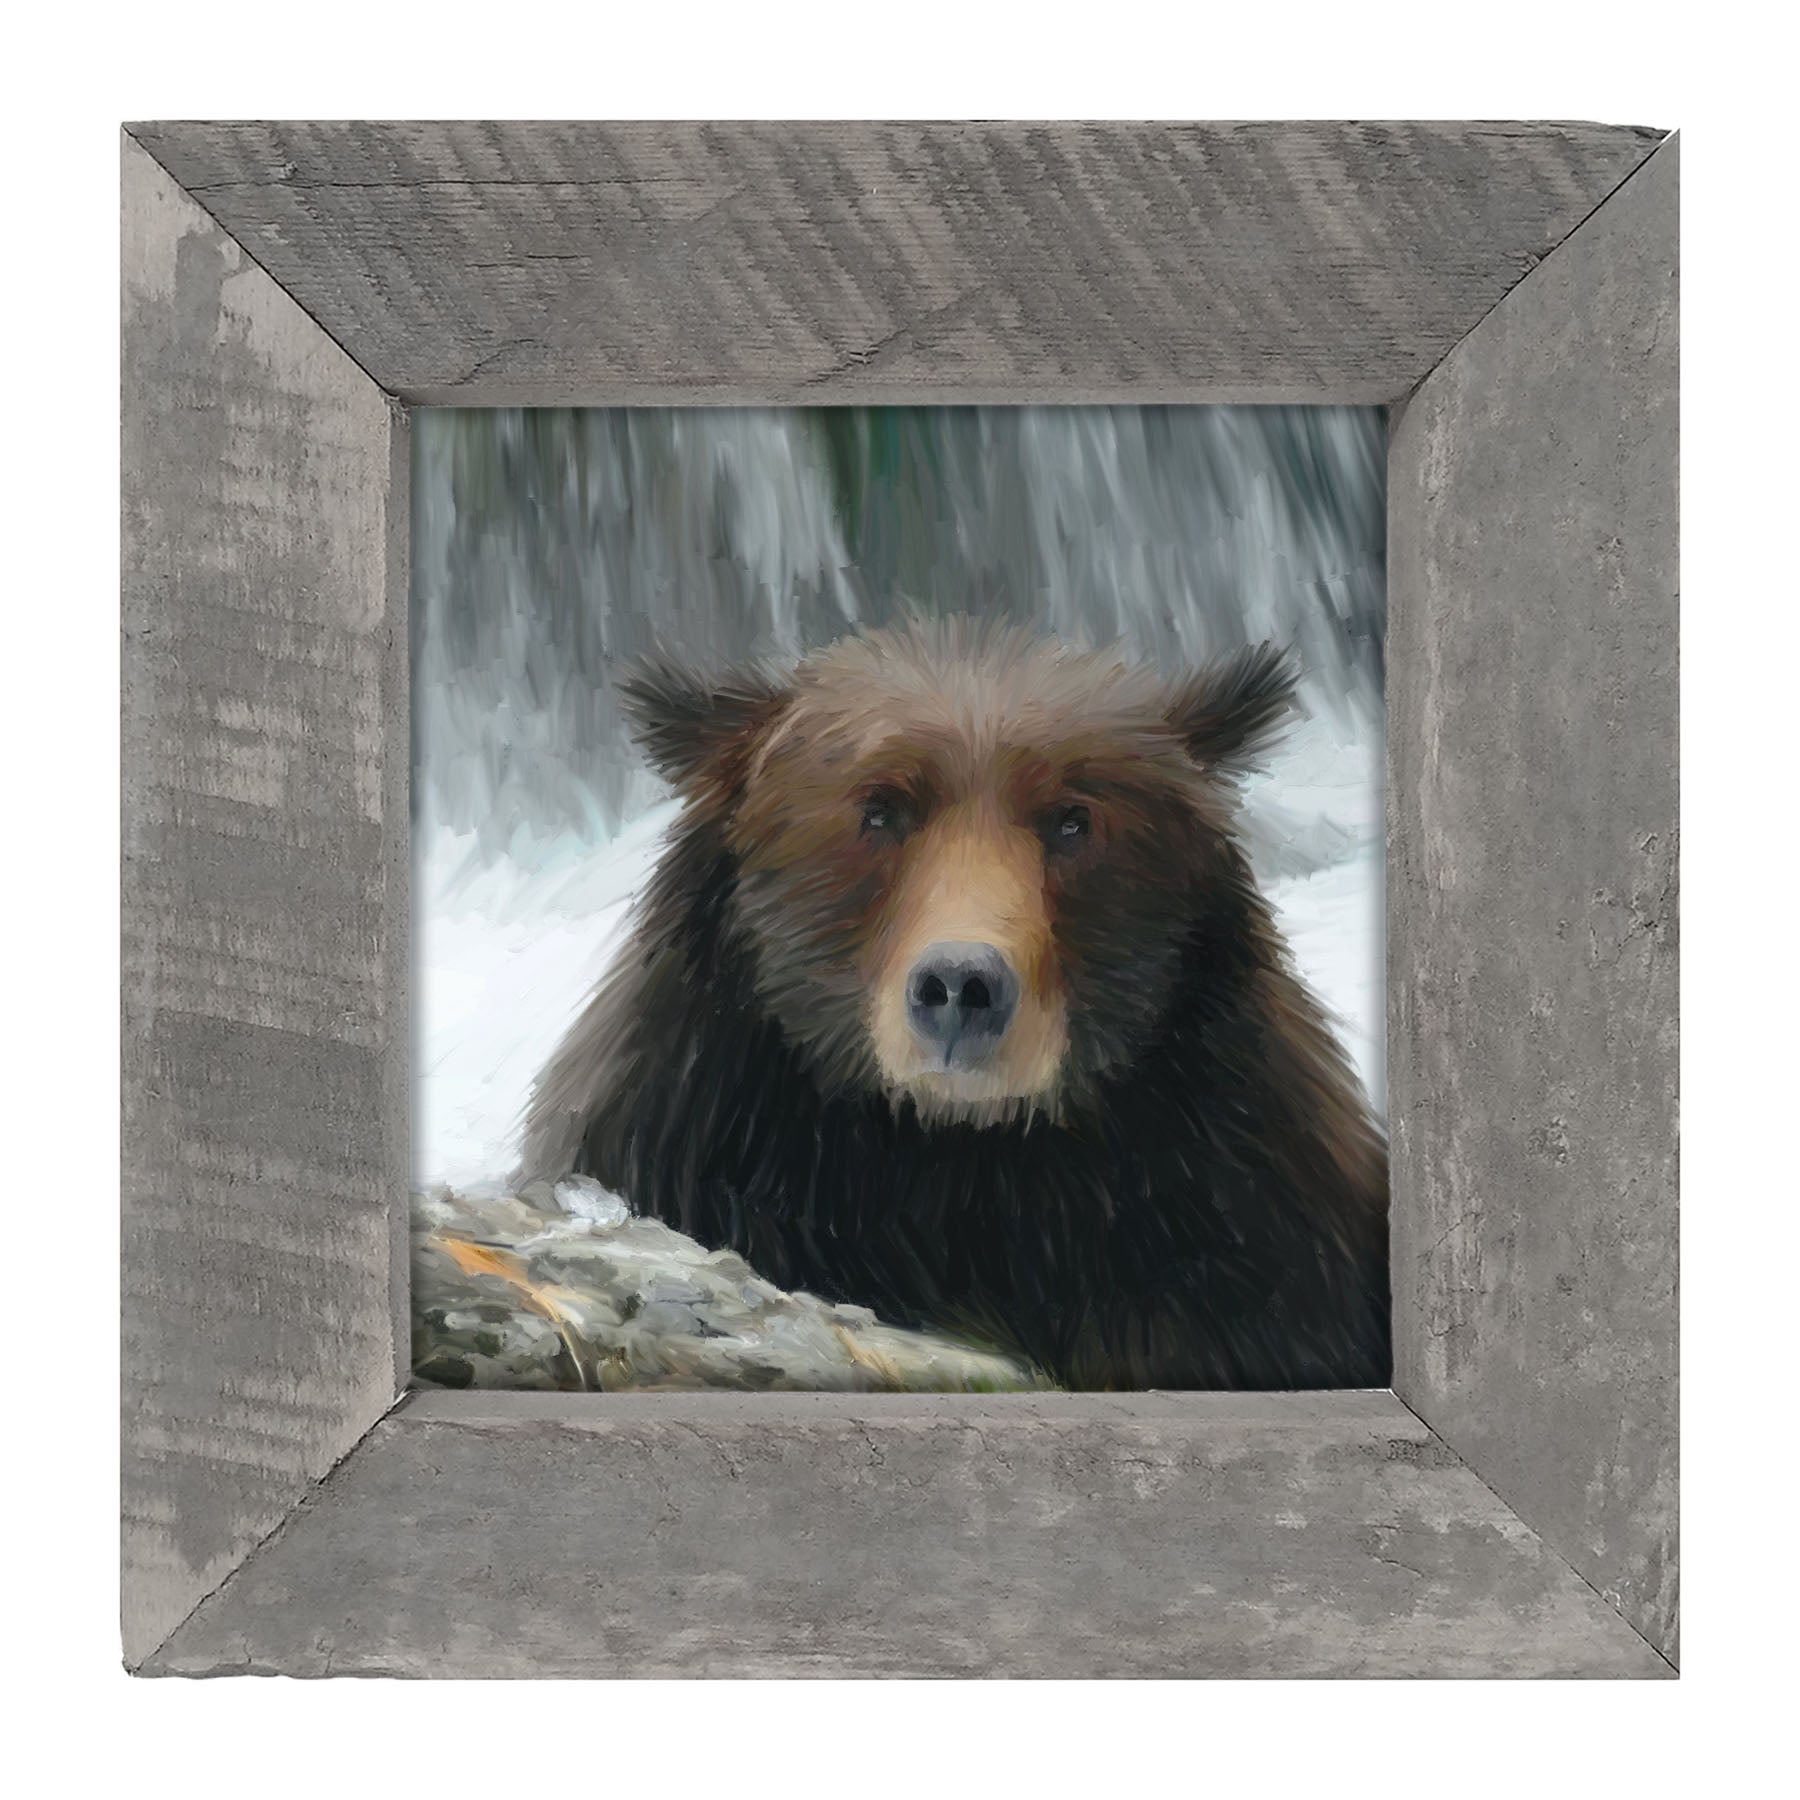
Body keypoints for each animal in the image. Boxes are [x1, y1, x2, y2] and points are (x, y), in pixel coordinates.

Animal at [522, 617, 1389, 1390]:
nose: (961, 987)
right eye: (879, 809)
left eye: (1073, 820)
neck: (959, 1165)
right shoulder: (693, 1137)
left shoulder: (1242, 1220)